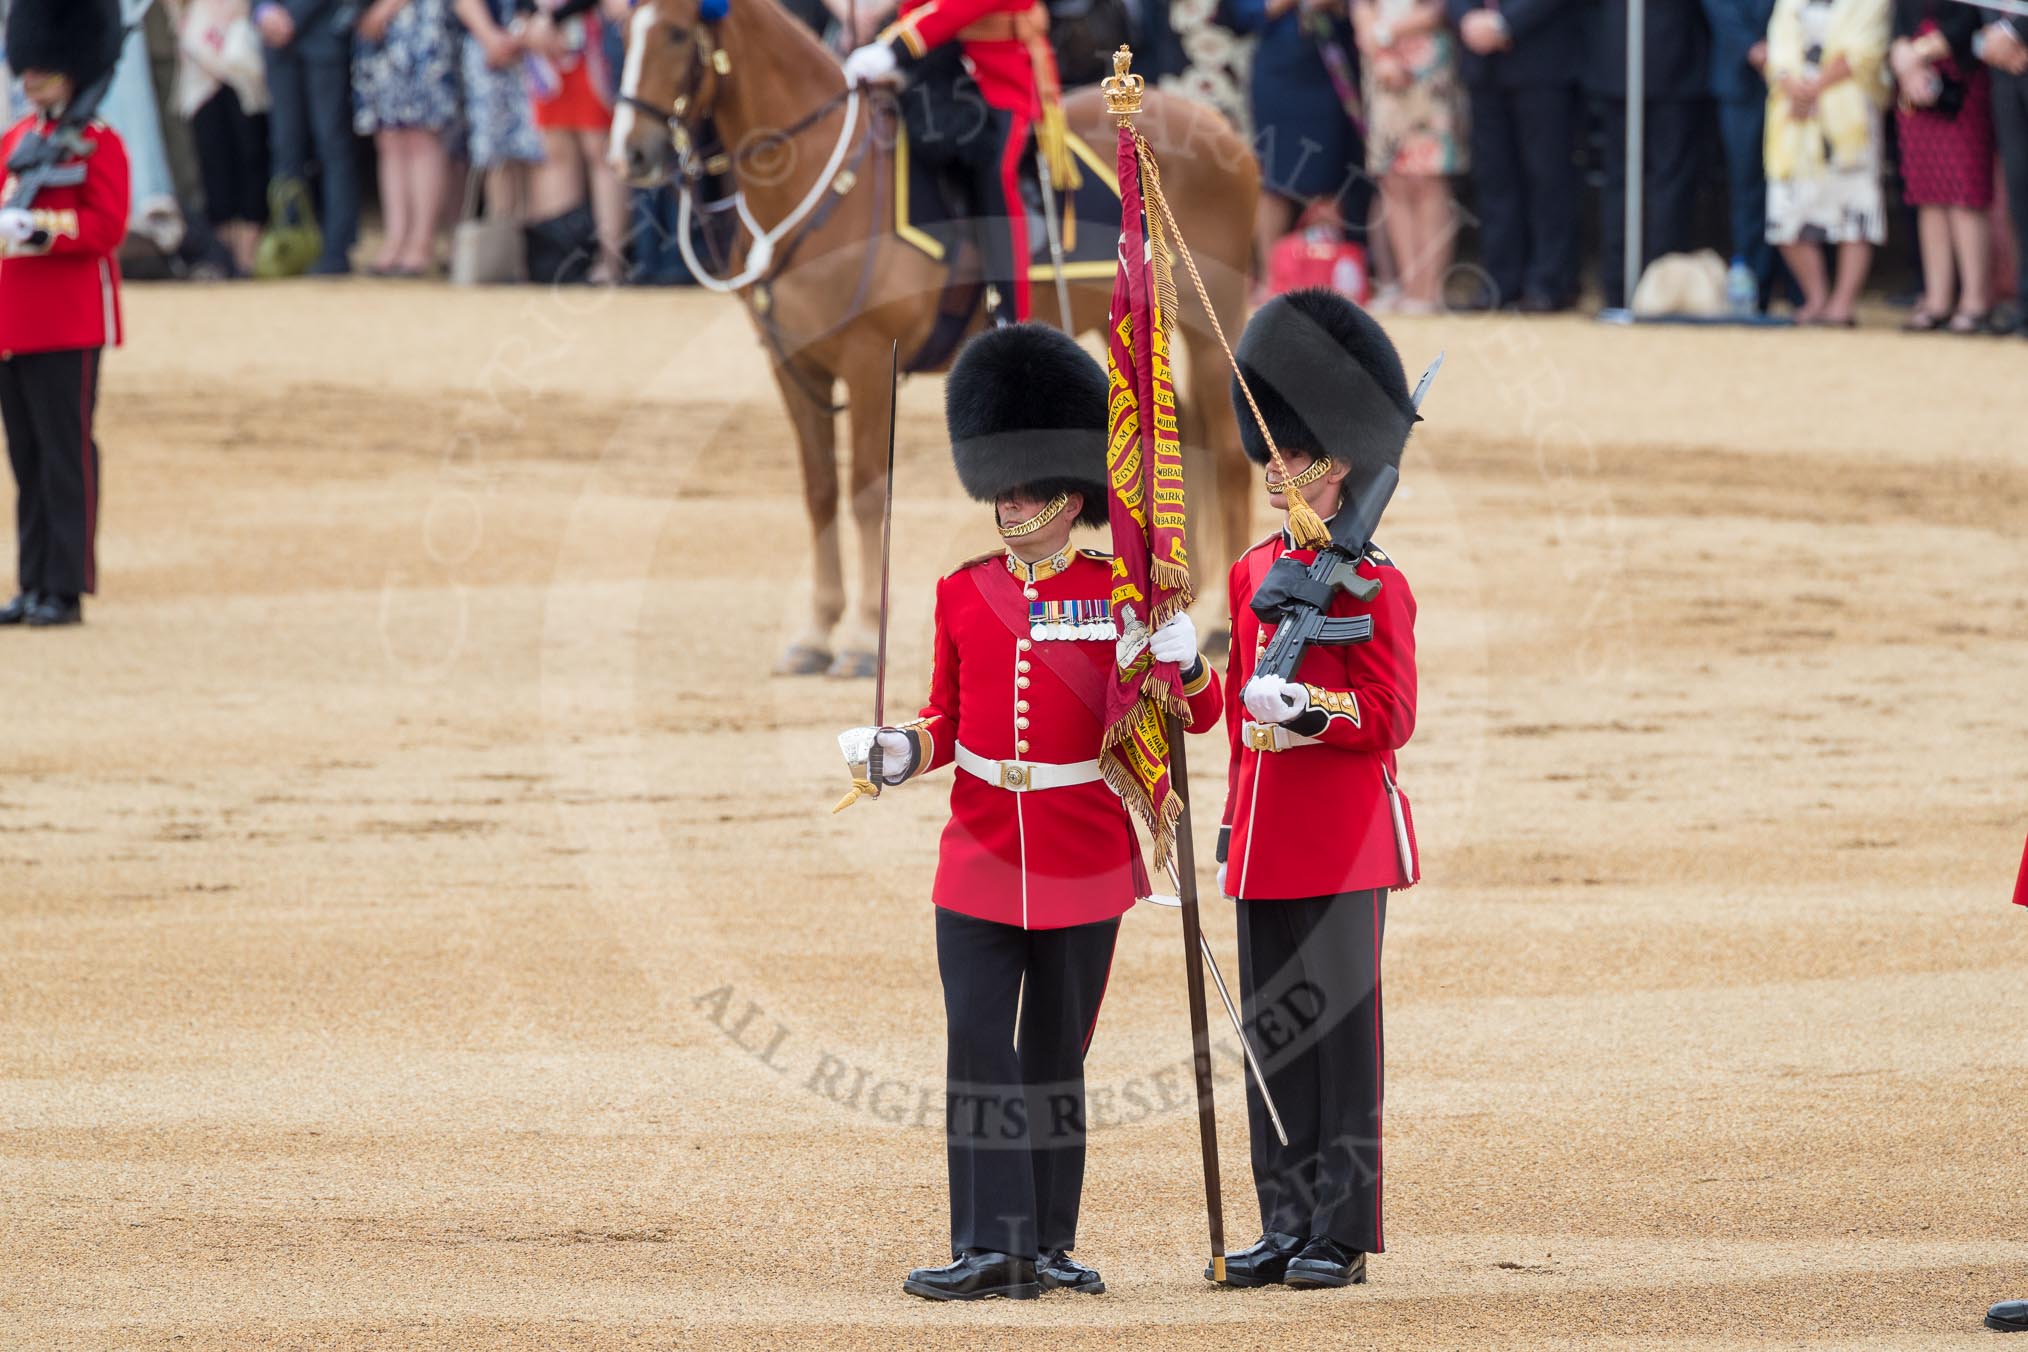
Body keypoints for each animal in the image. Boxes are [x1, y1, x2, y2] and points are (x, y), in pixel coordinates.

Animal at [608, 0, 1257, 677]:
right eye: (625, 31)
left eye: (676, 33)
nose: (630, 154)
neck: (818, 182)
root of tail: (1218, 124)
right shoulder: (795, 368)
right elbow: (820, 493)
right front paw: (816, 632)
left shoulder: (869, 362)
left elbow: (867, 493)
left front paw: (862, 638)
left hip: (1210, 323)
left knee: (1227, 454)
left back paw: (1213, 619)